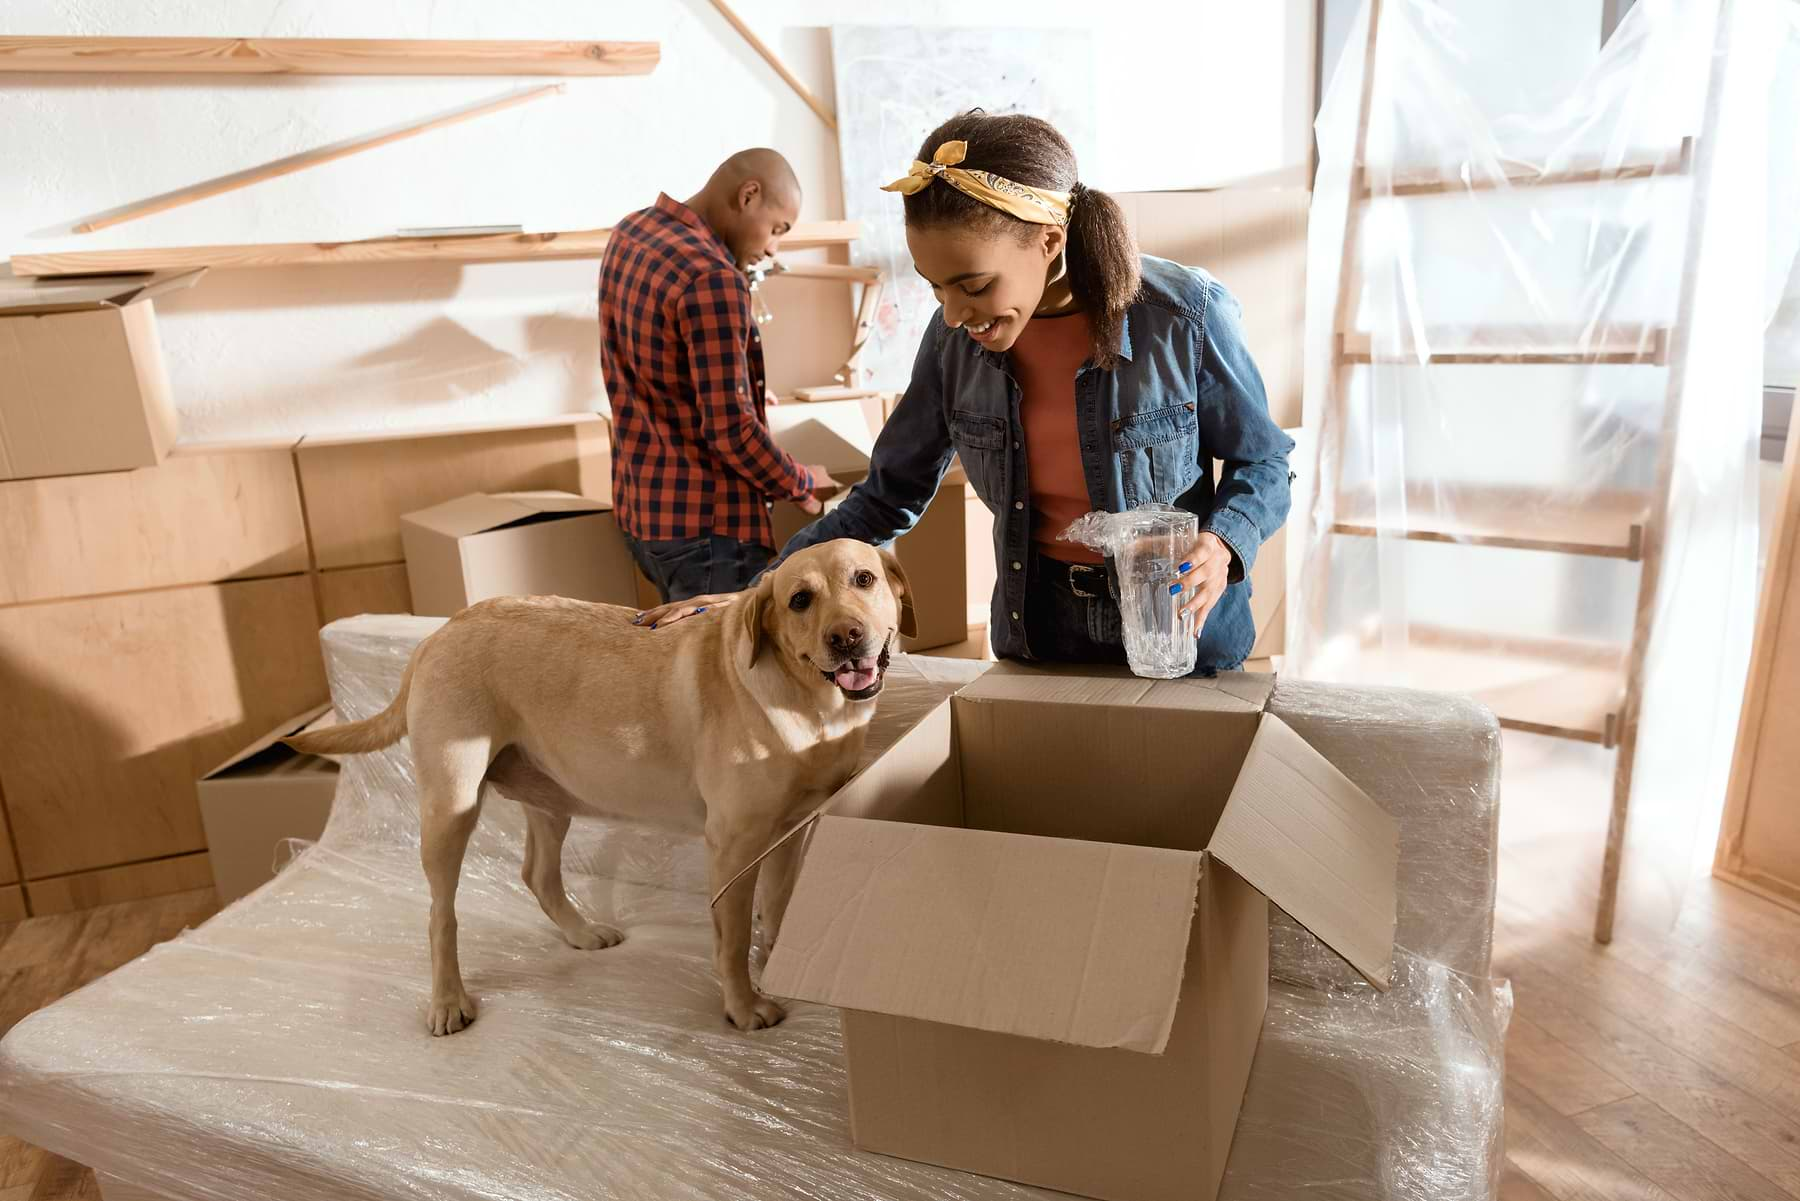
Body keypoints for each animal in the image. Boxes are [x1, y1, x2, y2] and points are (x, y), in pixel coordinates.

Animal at [291, 540, 928, 1037]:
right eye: (799, 600)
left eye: (864, 579)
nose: (847, 637)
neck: (809, 704)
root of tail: (438, 632)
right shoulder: (733, 846)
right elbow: (730, 939)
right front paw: (744, 1006)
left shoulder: (790, 833)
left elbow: (777, 908)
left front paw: (776, 962)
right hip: (451, 807)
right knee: (439, 914)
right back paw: (448, 1001)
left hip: (550, 796)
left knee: (537, 874)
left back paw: (581, 932)